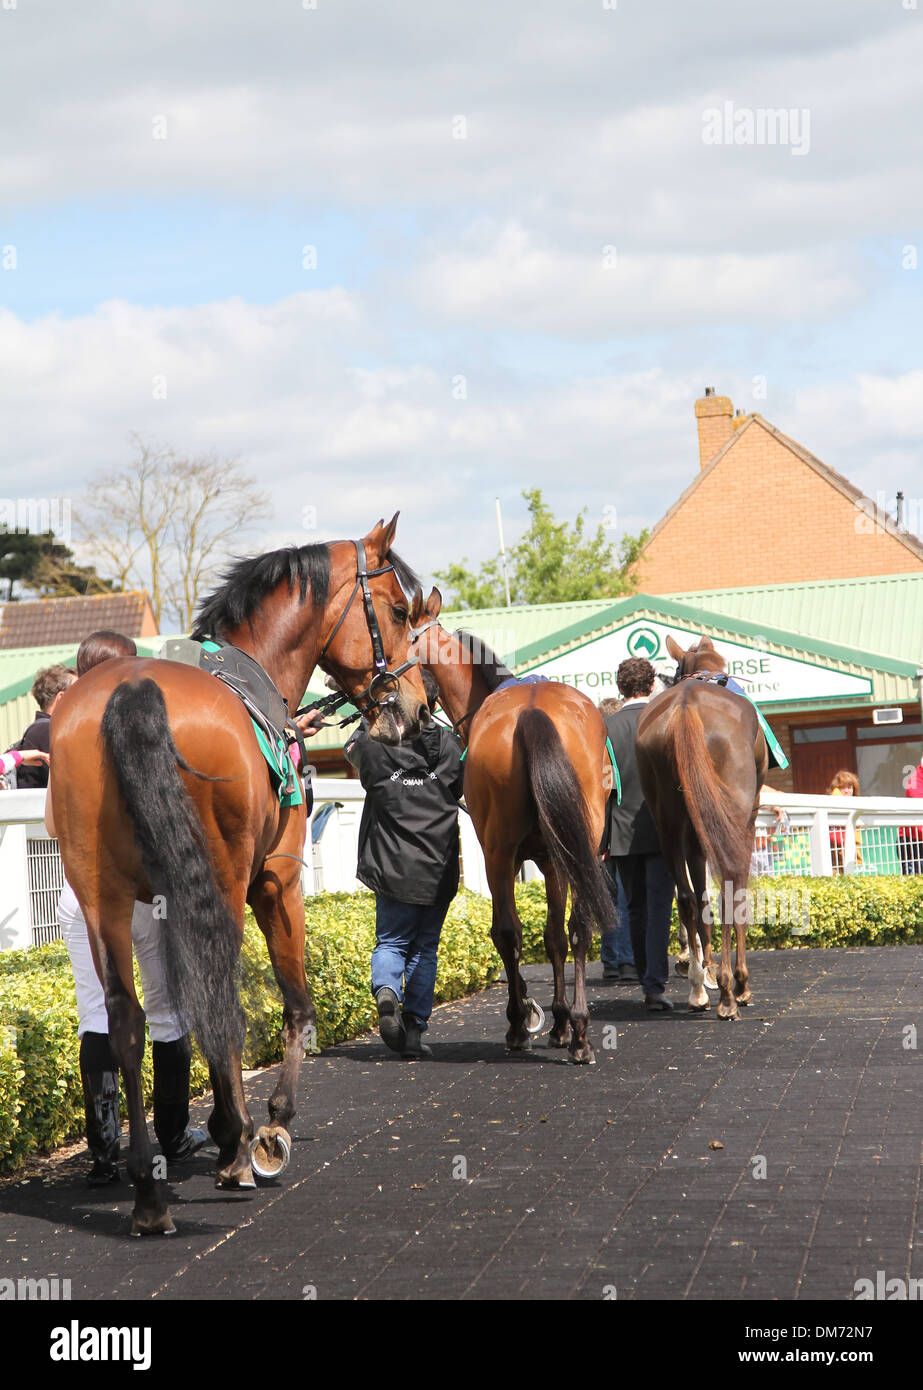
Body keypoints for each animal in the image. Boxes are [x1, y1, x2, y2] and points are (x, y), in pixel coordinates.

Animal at [49, 517, 425, 1234]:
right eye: (397, 611)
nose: (413, 707)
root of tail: (130, 688)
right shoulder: (278, 880)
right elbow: (296, 1002)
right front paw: (269, 1128)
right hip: (221, 882)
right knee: (218, 994)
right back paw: (238, 1145)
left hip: (101, 894)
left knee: (127, 1021)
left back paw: (147, 1190)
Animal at [408, 589, 611, 1061]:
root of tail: (531, 713)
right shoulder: (555, 858)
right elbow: (555, 935)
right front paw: (561, 1022)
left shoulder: (529, 859)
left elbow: (533, 934)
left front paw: (540, 1019)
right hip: (576, 844)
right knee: (578, 928)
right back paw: (580, 1032)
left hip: (498, 853)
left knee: (508, 933)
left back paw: (522, 1026)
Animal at [639, 636, 767, 1023]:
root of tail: (685, 707)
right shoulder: (745, 817)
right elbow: (734, 890)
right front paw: (737, 983)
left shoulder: (693, 832)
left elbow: (699, 896)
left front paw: (703, 970)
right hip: (733, 811)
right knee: (729, 885)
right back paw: (729, 991)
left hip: (668, 819)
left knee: (685, 897)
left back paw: (698, 988)